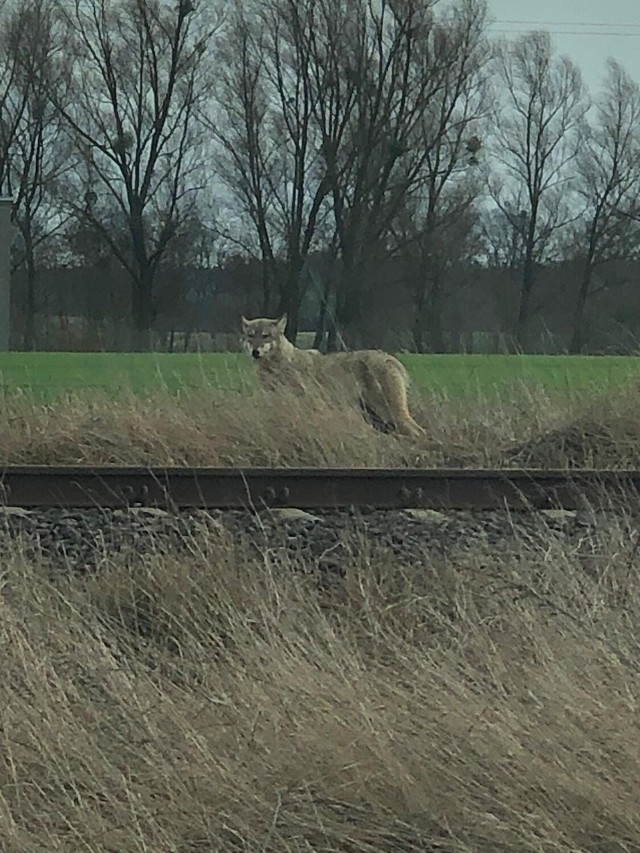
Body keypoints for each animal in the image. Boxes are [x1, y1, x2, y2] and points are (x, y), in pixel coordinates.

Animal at [240, 312, 424, 436]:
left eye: (265, 336)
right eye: (251, 336)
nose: (255, 352)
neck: (281, 364)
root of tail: (390, 358)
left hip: (391, 413)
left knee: (419, 431)